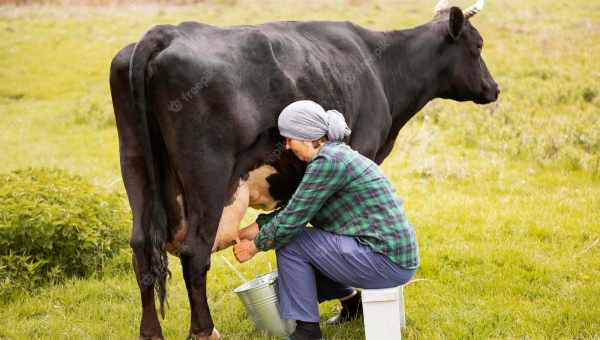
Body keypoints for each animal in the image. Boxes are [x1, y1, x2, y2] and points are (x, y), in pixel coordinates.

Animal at [110, 0, 500, 338]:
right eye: (478, 45)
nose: (493, 88)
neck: (381, 68)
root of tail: (166, 32)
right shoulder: (362, 151)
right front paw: (353, 310)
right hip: (208, 174)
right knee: (195, 253)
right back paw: (205, 331)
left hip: (135, 164)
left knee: (141, 247)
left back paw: (150, 332)